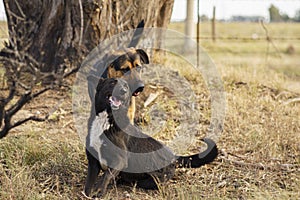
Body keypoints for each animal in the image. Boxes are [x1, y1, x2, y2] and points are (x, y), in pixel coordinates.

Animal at [84, 77, 218, 197]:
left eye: (126, 86)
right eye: (112, 82)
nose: (123, 91)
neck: (106, 121)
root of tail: (174, 157)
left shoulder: (119, 159)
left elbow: (106, 175)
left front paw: (100, 191)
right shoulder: (93, 162)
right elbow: (89, 183)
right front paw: (88, 193)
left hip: (150, 177)